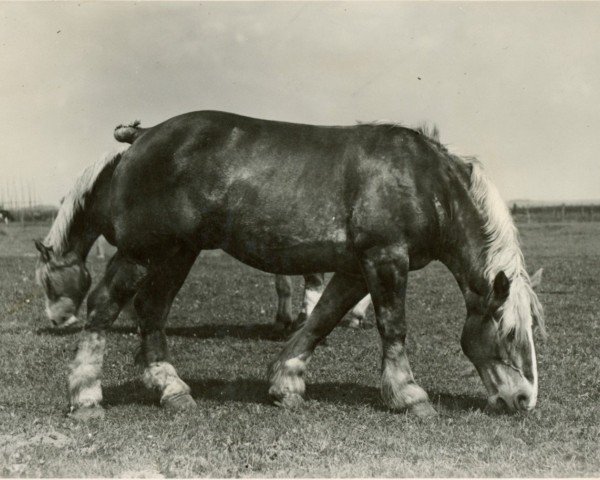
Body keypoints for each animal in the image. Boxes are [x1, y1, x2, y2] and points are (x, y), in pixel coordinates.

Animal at [35, 110, 548, 418]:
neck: (424, 181)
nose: (525, 400)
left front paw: (286, 383)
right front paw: (408, 395)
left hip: (177, 253)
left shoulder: (354, 268)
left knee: (151, 312)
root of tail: (142, 136)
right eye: (508, 334)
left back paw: (172, 389)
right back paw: (86, 395)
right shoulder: (385, 258)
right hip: (146, 252)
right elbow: (393, 326)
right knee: (106, 306)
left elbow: (321, 319)